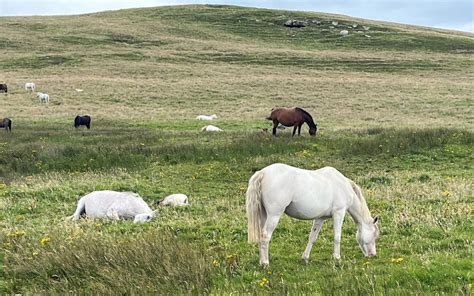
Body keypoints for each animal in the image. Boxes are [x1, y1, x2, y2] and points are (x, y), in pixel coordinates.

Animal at [246, 163, 380, 268]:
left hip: (264, 215)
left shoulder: (320, 218)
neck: (342, 184)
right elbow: (337, 237)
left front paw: (305, 258)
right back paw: (265, 263)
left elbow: (312, 237)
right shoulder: (339, 213)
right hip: (274, 215)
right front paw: (337, 258)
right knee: (265, 236)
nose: (373, 255)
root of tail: (262, 173)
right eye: (375, 235)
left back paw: (261, 261)